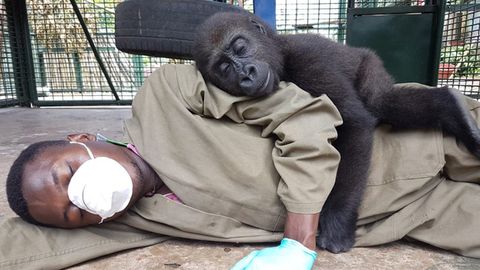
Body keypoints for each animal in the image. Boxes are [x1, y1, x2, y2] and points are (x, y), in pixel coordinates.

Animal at [191, 11, 480, 253]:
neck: (281, 54)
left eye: (240, 48)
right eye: (225, 69)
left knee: (381, 101)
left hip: (370, 64)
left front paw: (337, 223)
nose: (246, 74)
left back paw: (451, 107)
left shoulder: (309, 60)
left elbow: (355, 124)